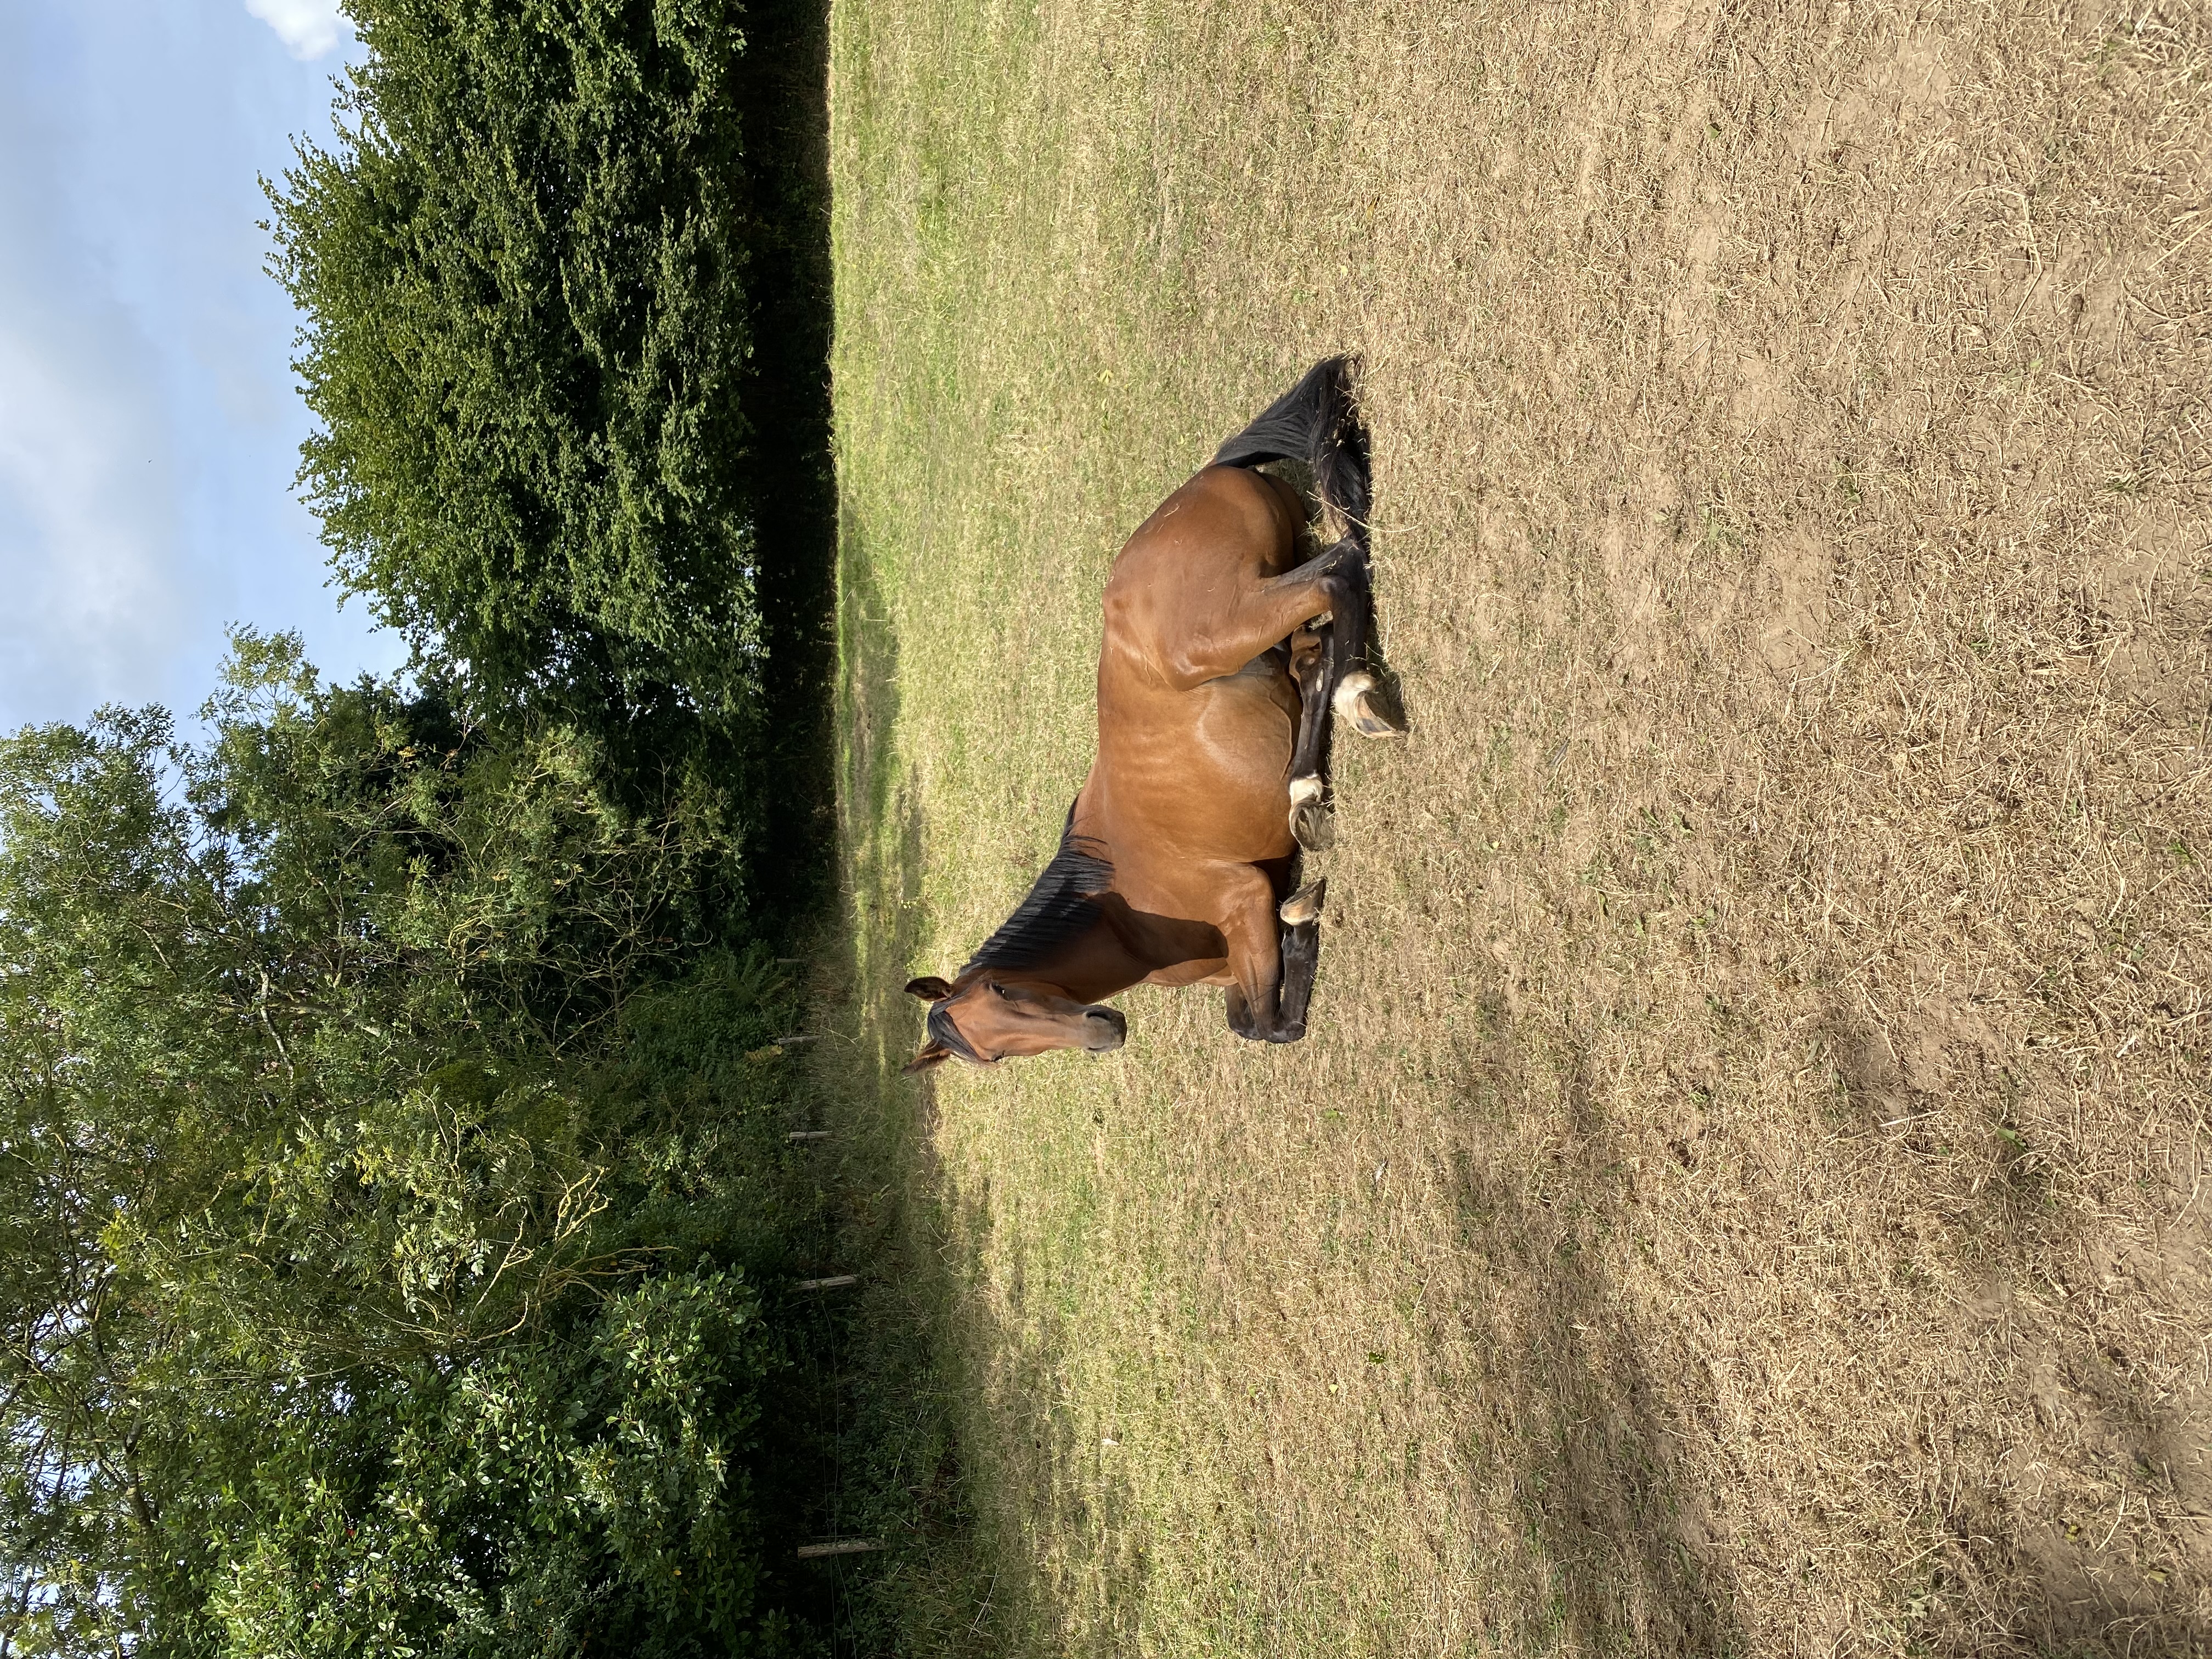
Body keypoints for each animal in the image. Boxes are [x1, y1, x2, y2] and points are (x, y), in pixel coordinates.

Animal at [903, 356, 1402, 1072]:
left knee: (1340, 570)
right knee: (1320, 640)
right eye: (991, 1056)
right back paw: (1310, 779)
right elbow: (1246, 1018)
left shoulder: (1246, 902)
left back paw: (1357, 698)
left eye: (1003, 987)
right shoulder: (1231, 963)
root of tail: (1208, 474)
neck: (1126, 911)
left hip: (1220, 635)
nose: (1101, 1032)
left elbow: (1269, 1026)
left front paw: (1303, 926)